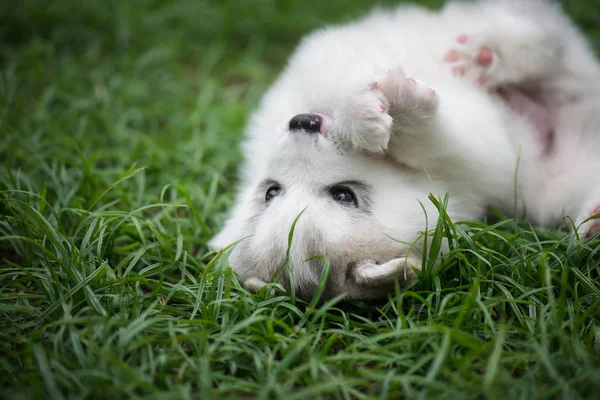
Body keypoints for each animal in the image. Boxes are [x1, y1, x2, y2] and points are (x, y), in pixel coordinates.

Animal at [210, 0, 600, 300]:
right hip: (552, 191)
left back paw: (485, 54)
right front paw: (383, 111)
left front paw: (370, 108)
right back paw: (593, 223)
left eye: (270, 192)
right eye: (345, 195)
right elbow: (439, 137)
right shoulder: (482, 156)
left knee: (539, 35)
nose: (302, 122)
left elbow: (345, 82)